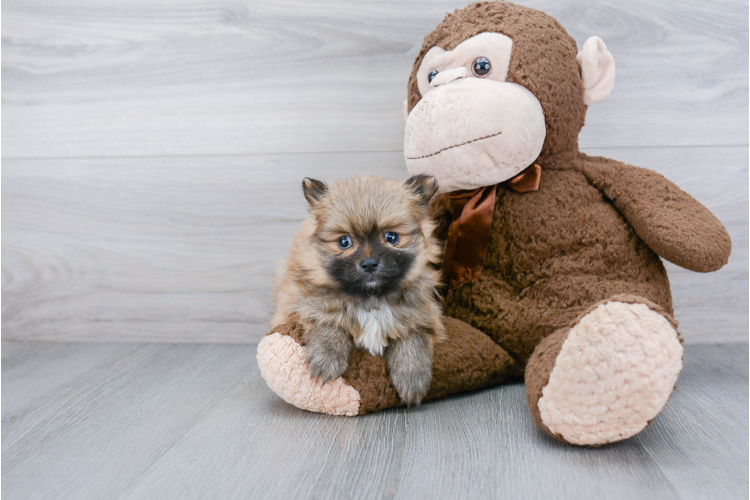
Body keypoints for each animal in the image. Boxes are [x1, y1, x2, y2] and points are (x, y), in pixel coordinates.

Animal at [272, 174, 444, 404]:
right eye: (344, 241)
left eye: (392, 237)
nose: (369, 263)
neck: (370, 297)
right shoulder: (301, 304)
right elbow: (329, 321)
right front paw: (326, 359)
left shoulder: (424, 315)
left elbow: (413, 338)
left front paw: (412, 377)